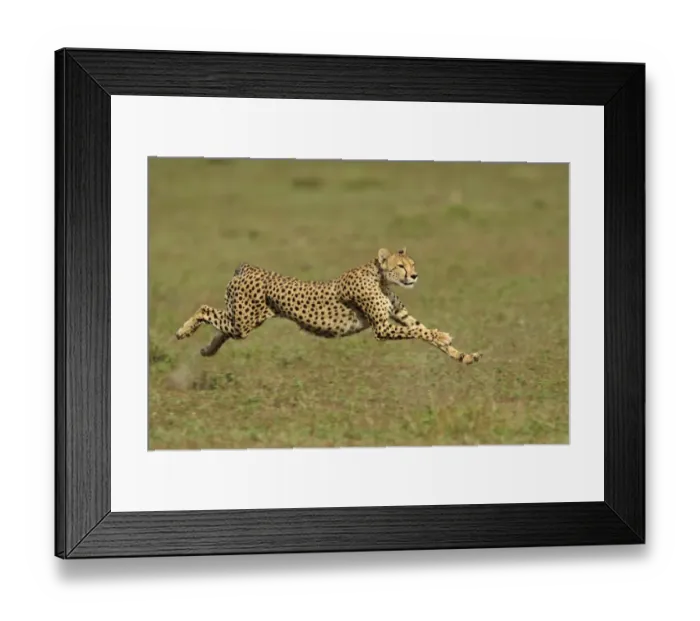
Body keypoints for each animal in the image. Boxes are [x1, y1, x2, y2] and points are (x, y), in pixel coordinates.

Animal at [175, 247, 482, 365]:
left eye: (412, 264)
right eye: (400, 266)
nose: (415, 276)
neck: (380, 278)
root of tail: (249, 267)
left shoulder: (399, 316)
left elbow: (422, 330)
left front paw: (464, 356)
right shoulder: (381, 328)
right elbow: (421, 332)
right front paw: (444, 335)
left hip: (240, 320)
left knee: (221, 329)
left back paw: (207, 350)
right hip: (245, 320)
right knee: (205, 309)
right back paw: (182, 332)